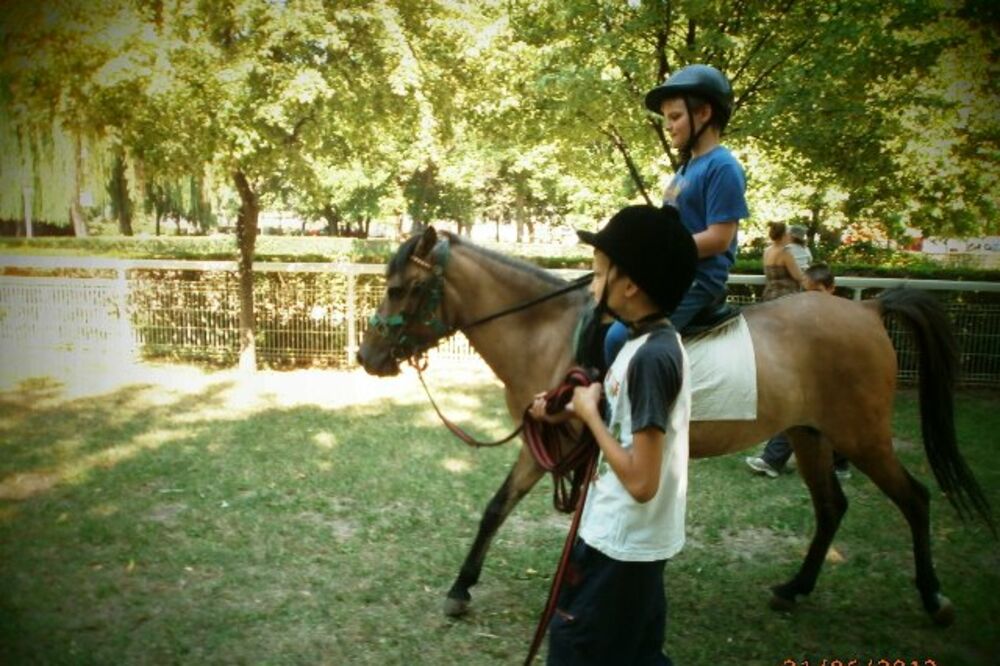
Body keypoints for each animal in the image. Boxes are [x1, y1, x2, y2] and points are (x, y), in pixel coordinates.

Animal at [358, 226, 992, 624]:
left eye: (399, 288)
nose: (367, 356)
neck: (547, 329)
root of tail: (866, 309)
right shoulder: (553, 447)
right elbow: (498, 507)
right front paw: (463, 586)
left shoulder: (555, 442)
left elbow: (507, 509)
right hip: (811, 435)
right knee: (832, 507)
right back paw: (795, 588)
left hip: (862, 436)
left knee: (915, 499)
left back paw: (933, 598)